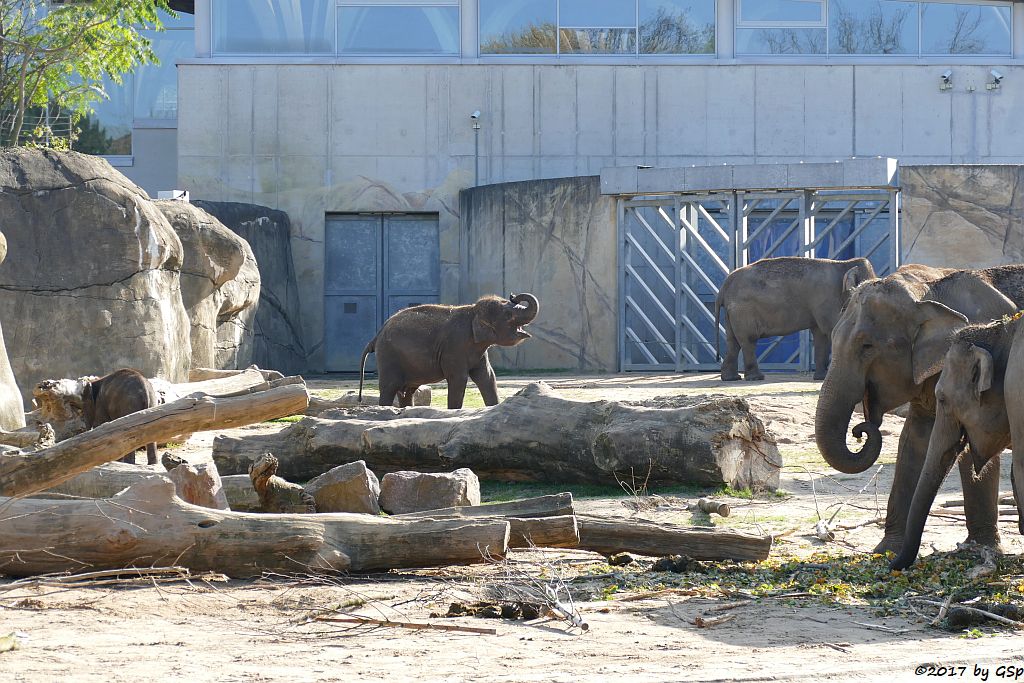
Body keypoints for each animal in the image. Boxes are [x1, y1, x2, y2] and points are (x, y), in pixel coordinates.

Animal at [356, 292, 540, 409]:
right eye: (508, 314)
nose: (513, 296)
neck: (473, 311)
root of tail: (377, 335)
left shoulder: (478, 350)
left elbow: (487, 377)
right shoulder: (455, 347)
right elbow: (458, 378)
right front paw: (455, 411)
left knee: (407, 392)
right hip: (388, 356)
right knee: (389, 387)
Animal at [716, 255, 876, 382]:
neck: (844, 264)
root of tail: (724, 286)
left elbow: (820, 334)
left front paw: (821, 377)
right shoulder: (825, 297)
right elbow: (830, 328)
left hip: (732, 312)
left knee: (733, 341)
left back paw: (731, 378)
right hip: (743, 310)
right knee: (748, 340)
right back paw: (756, 377)